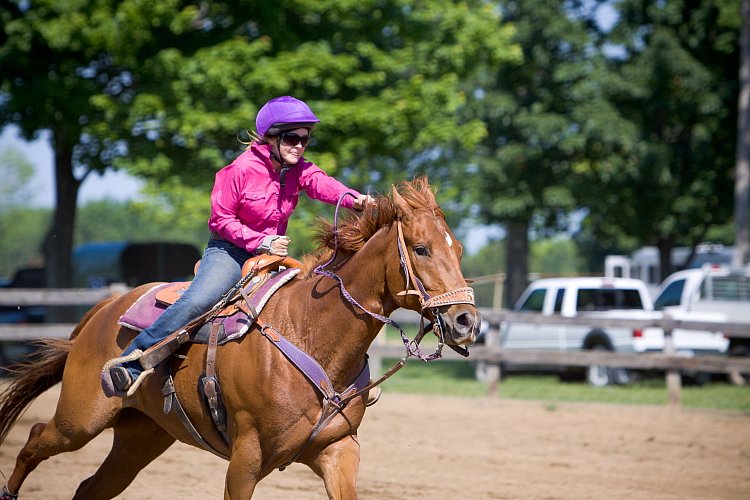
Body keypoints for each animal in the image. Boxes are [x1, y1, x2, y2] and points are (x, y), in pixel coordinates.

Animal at [0, 178, 482, 498]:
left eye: (458, 250)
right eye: (421, 248)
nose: (465, 322)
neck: (311, 334)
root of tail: (103, 309)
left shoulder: (338, 451)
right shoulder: (245, 460)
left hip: (141, 438)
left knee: (90, 488)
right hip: (79, 421)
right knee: (35, 439)